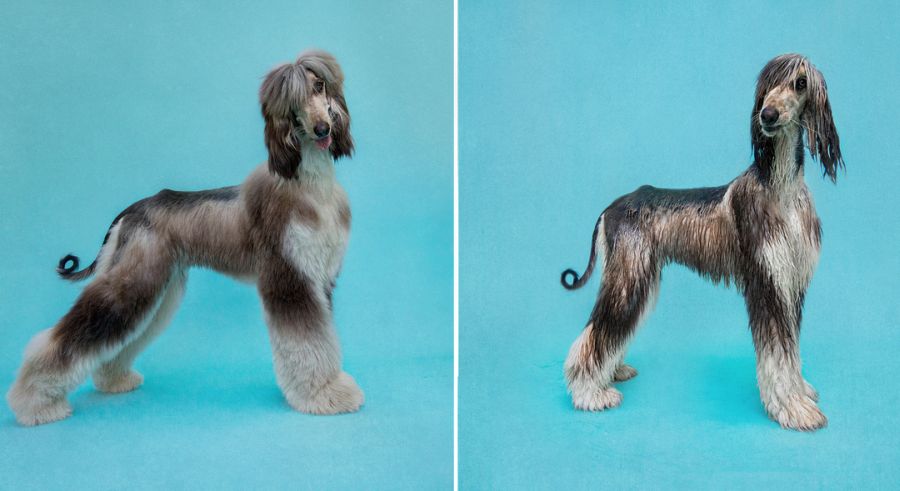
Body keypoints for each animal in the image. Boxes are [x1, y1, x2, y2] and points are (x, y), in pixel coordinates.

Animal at [7, 50, 364, 426]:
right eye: (293, 101)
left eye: (319, 85)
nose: (323, 129)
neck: (307, 185)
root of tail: (129, 213)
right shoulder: (290, 275)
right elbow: (308, 340)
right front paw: (322, 393)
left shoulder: (320, 279)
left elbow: (323, 338)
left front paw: (328, 386)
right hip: (135, 280)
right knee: (69, 335)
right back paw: (34, 402)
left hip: (159, 288)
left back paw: (113, 378)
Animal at [561, 54, 842, 431]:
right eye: (768, 85)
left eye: (800, 83)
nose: (767, 115)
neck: (780, 187)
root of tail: (610, 208)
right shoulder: (767, 281)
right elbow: (778, 353)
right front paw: (793, 407)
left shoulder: (791, 282)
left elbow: (791, 348)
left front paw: (800, 391)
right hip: (629, 276)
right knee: (597, 332)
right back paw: (589, 393)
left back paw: (612, 371)